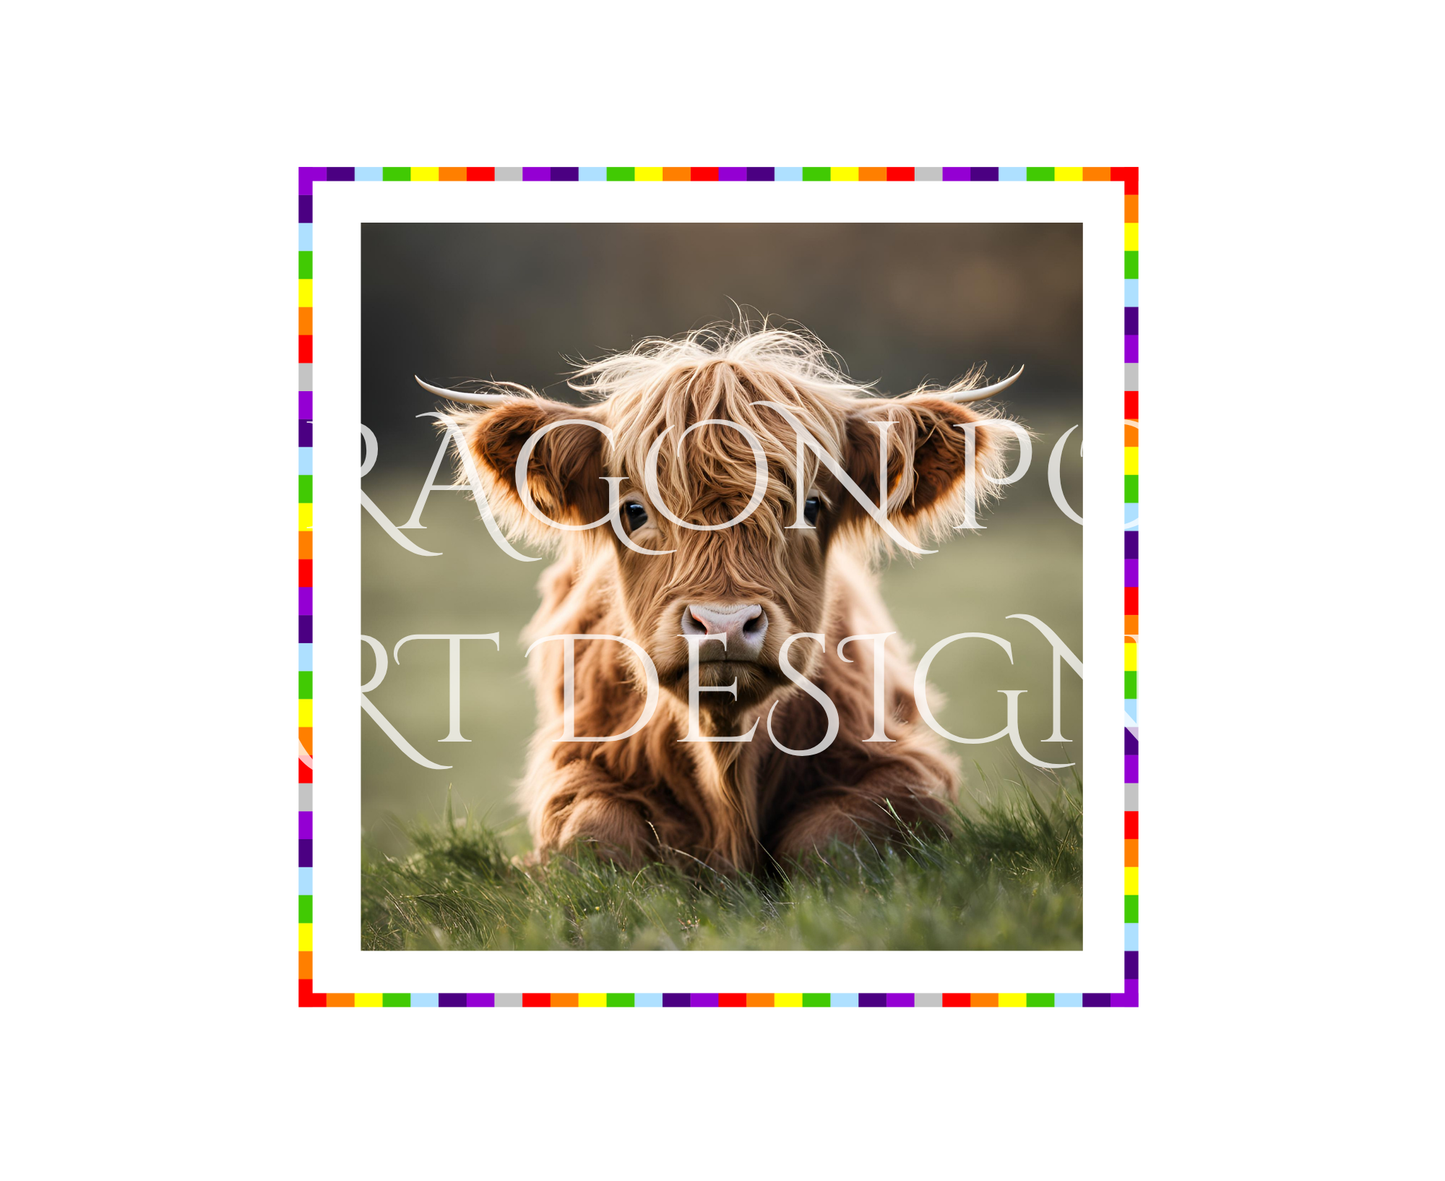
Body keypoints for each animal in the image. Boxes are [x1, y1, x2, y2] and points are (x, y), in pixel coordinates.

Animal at [420, 325, 1023, 874]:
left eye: (810, 506)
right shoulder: (574, 763)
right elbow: (595, 836)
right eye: (634, 511)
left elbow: (830, 842)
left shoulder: (903, 768)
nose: (724, 624)